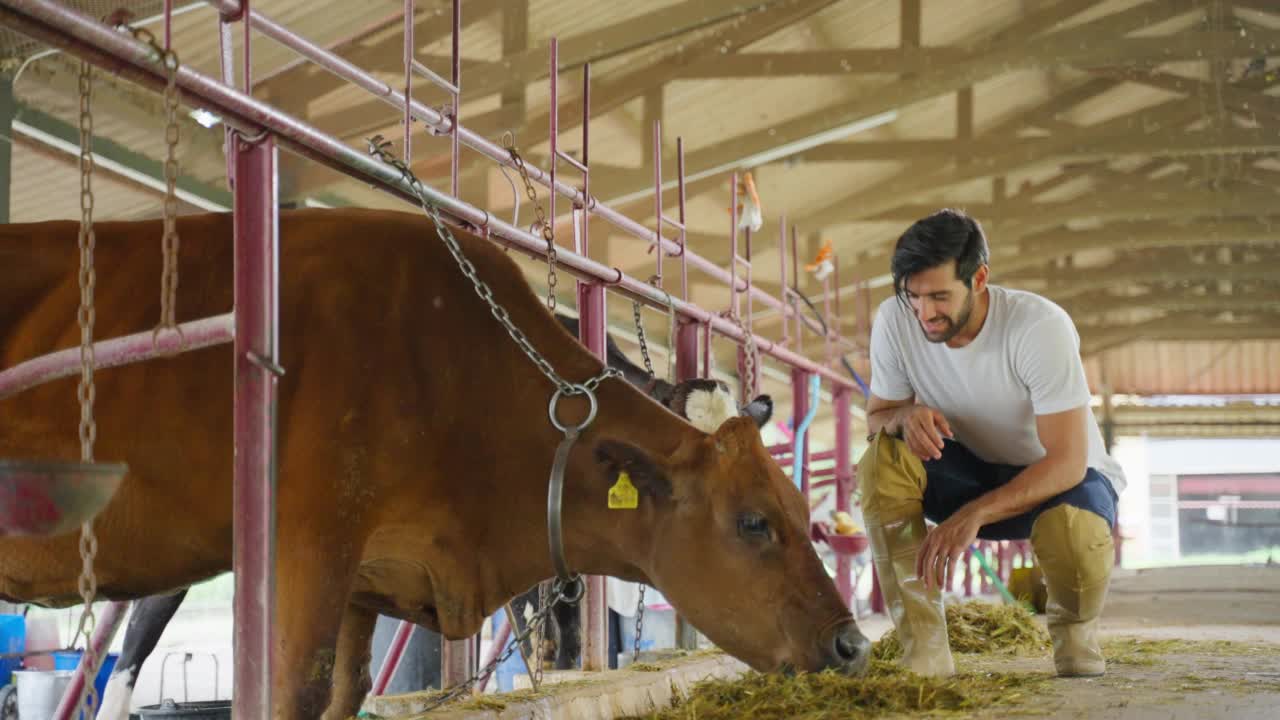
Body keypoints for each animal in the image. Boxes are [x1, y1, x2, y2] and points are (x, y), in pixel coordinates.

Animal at [2, 207, 870, 717]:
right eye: (754, 523)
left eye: (805, 516)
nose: (852, 647)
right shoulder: (307, 551)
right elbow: (293, 689)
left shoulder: (362, 578)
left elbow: (347, 691)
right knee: (132, 653)